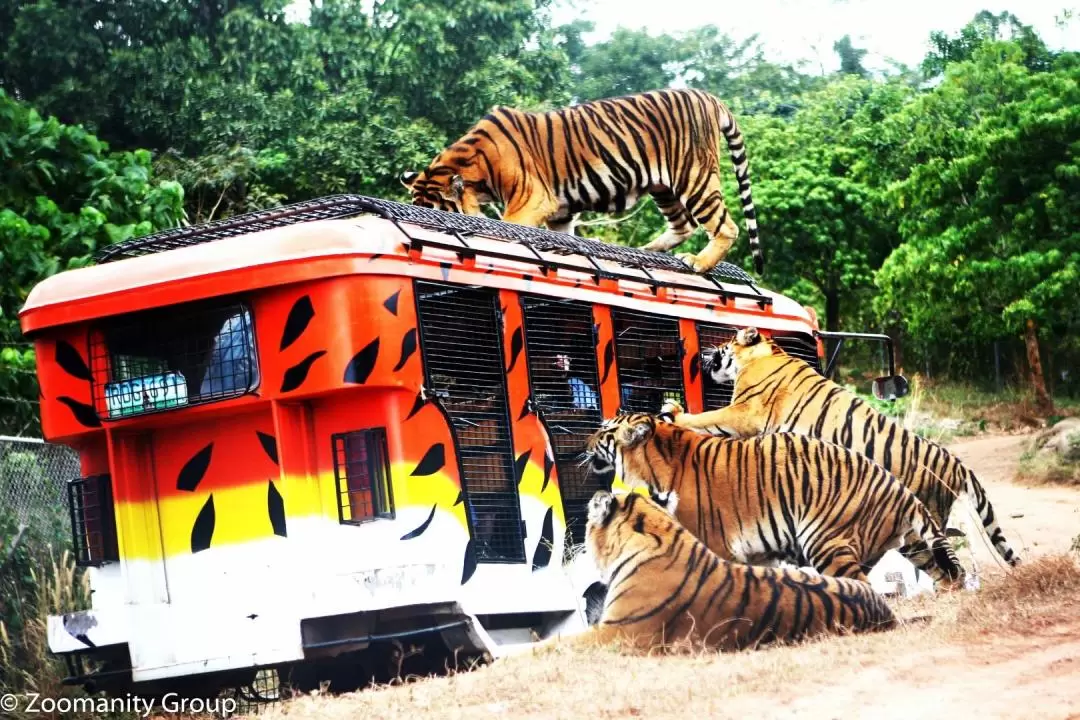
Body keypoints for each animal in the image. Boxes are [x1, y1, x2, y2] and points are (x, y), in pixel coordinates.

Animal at [401, 85, 764, 276]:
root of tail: (707, 95)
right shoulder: (560, 212)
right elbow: (562, 240)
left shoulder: (533, 199)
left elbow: (507, 226)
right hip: (664, 186)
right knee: (683, 225)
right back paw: (646, 250)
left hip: (693, 175)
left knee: (725, 226)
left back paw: (698, 262)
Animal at [587, 414, 967, 587]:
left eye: (605, 431)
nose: (585, 441)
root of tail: (899, 487)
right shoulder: (757, 551)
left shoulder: (713, 543)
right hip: (912, 544)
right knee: (950, 573)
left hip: (825, 540)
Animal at [660, 325, 1023, 574]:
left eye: (723, 344)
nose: (703, 353)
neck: (768, 353)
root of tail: (956, 462)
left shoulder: (745, 411)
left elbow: (707, 418)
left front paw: (676, 414)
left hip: (917, 527)